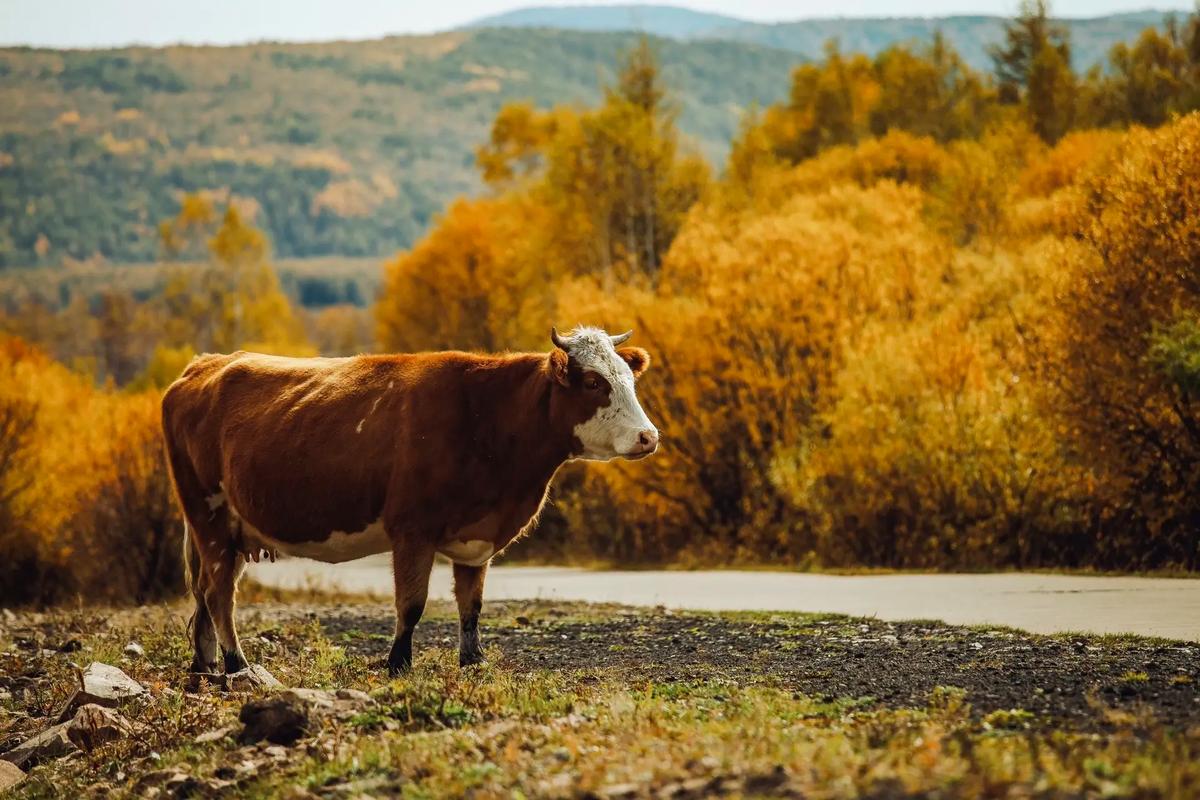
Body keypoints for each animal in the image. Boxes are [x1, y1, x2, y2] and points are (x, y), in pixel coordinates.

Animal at [159, 326, 657, 676]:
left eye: (629, 379)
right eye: (592, 382)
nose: (648, 436)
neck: (487, 419)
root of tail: (206, 365)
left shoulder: (475, 539)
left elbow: (471, 605)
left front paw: (472, 661)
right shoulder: (412, 529)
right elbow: (411, 603)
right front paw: (398, 663)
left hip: (227, 528)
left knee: (205, 591)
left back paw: (205, 665)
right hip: (207, 513)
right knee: (219, 593)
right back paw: (237, 664)